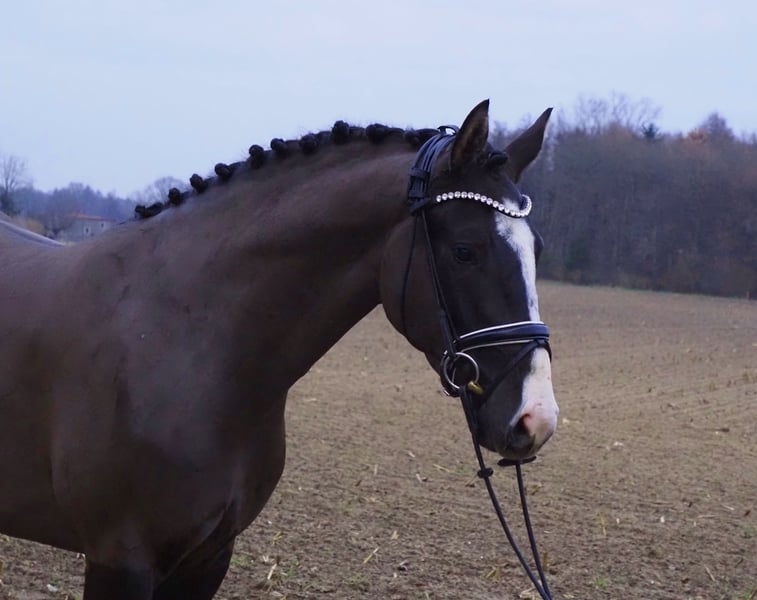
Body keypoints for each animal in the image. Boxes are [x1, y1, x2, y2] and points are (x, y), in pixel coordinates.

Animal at [0, 100, 558, 599]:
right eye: (465, 251)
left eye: (537, 250)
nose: (535, 418)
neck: (184, 343)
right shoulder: (121, 560)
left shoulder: (208, 558)